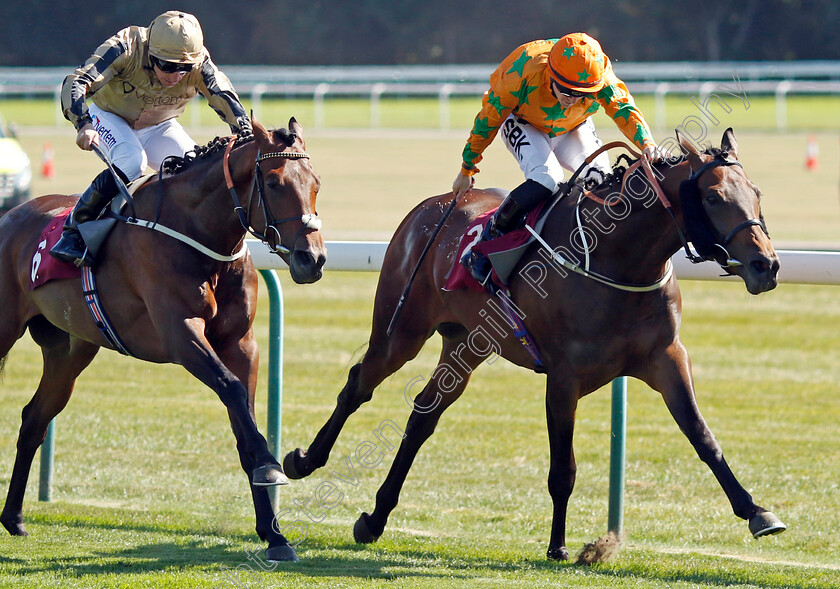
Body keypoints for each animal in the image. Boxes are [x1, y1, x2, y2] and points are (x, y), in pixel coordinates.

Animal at [0, 116, 324, 560]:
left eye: (316, 183)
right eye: (274, 183)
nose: (313, 259)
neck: (197, 234)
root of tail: (11, 216)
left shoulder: (241, 344)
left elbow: (244, 419)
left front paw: (275, 534)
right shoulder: (180, 334)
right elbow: (232, 389)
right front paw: (271, 467)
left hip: (69, 351)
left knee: (34, 418)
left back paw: (13, 517)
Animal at [288, 129, 788, 560]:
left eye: (757, 193)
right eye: (713, 196)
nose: (766, 265)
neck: (618, 259)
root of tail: (434, 205)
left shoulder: (666, 357)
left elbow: (703, 437)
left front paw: (757, 512)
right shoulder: (564, 378)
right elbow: (563, 469)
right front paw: (558, 546)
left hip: (467, 344)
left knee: (424, 413)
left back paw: (375, 517)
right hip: (401, 331)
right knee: (358, 385)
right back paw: (304, 460)